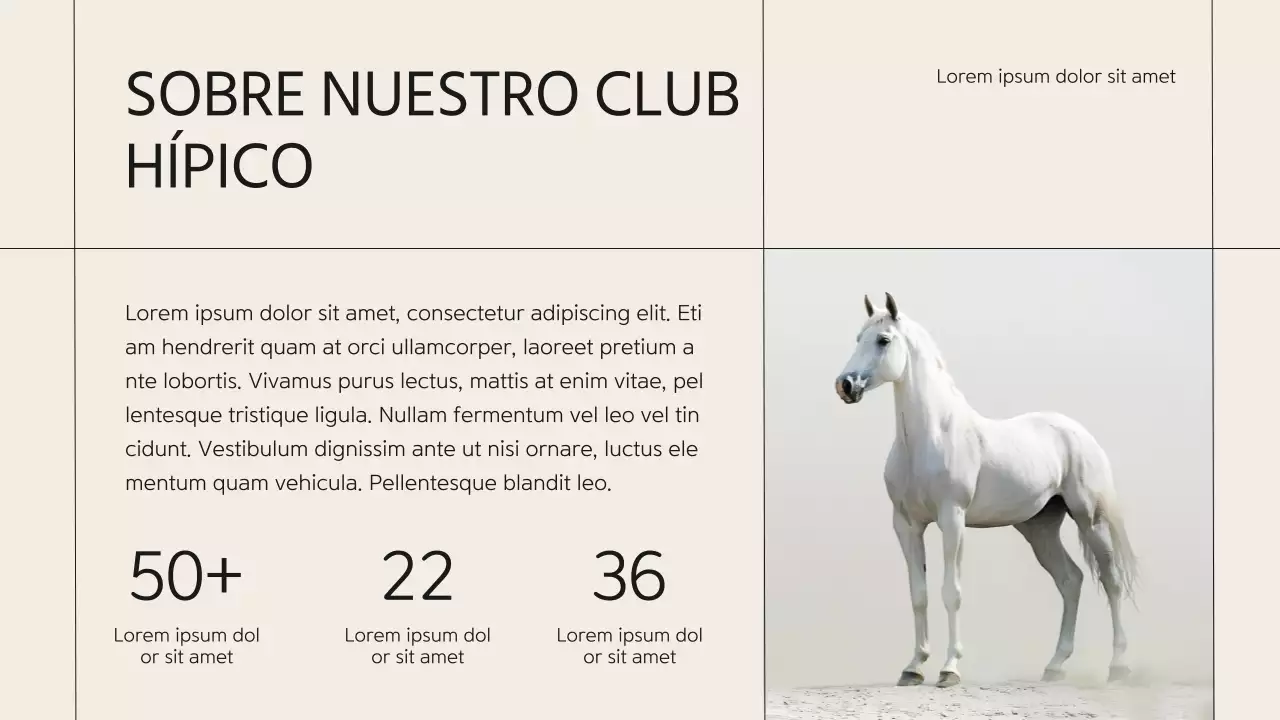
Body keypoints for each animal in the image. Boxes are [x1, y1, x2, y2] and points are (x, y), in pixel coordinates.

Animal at [834, 293, 1138, 688]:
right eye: (858, 338)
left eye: (883, 340)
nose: (845, 385)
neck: (931, 436)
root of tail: (1078, 433)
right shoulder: (906, 524)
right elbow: (919, 595)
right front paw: (913, 668)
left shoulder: (952, 519)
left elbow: (951, 592)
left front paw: (949, 669)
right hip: (1040, 528)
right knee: (1071, 580)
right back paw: (1055, 666)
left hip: (1090, 519)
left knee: (1111, 580)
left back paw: (1119, 666)